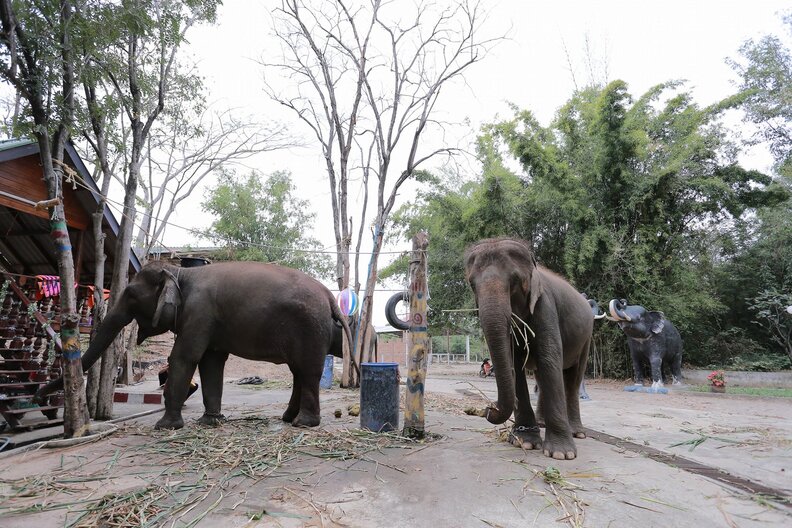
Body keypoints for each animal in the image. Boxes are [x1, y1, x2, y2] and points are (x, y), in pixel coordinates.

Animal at [36, 260, 353, 429]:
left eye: (131, 295)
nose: (40, 396)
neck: (179, 273)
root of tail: (329, 296)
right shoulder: (207, 320)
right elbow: (211, 362)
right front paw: (210, 422)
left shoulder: (199, 312)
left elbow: (185, 357)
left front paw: (164, 427)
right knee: (299, 372)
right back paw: (289, 419)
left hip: (310, 328)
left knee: (307, 371)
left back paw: (303, 424)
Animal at [465, 238, 593, 460]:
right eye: (472, 284)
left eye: (515, 280)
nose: (488, 408)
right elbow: (515, 364)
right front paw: (524, 442)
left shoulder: (545, 306)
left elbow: (549, 359)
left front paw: (561, 454)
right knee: (543, 376)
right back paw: (541, 423)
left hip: (586, 336)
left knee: (573, 378)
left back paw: (577, 432)